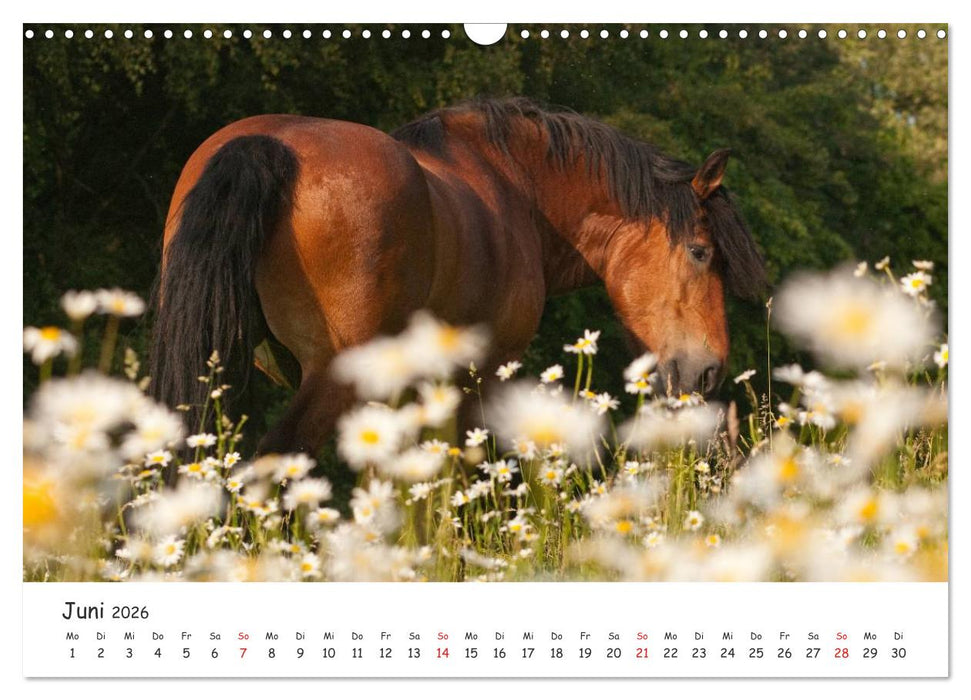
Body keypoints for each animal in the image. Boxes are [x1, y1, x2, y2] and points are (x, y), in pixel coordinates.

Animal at [151, 97, 765, 456]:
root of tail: (270, 147)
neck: (515, 185)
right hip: (331, 375)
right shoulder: (480, 377)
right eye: (701, 252)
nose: (710, 371)